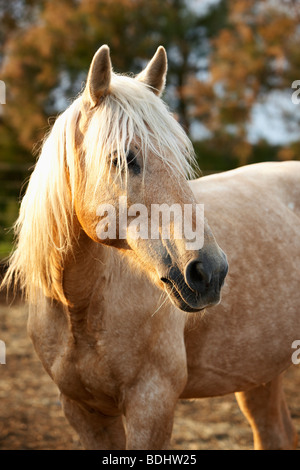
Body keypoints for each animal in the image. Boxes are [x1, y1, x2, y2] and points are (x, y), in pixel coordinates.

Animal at [3, 45, 300, 452]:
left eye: (179, 158)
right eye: (123, 158)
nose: (210, 273)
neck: (82, 308)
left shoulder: (152, 404)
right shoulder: (83, 411)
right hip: (259, 373)